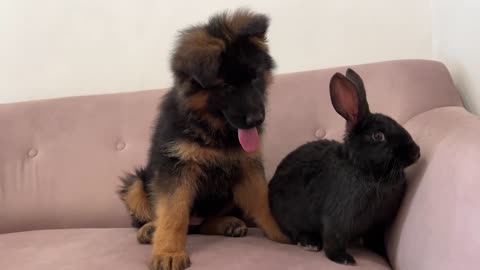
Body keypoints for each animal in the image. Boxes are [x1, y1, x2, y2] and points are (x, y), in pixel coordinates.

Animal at [118, 8, 288, 270]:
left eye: (255, 77)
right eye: (226, 86)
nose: (257, 120)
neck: (212, 128)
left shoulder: (246, 166)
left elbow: (263, 200)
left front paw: (284, 230)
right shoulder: (177, 167)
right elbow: (173, 214)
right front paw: (169, 251)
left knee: (205, 223)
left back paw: (227, 223)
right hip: (137, 183)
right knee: (158, 216)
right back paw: (149, 229)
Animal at [270, 68, 420, 264]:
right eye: (378, 136)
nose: (416, 152)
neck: (365, 170)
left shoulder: (379, 225)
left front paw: (380, 254)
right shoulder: (339, 217)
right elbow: (334, 237)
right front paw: (343, 259)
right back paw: (310, 243)